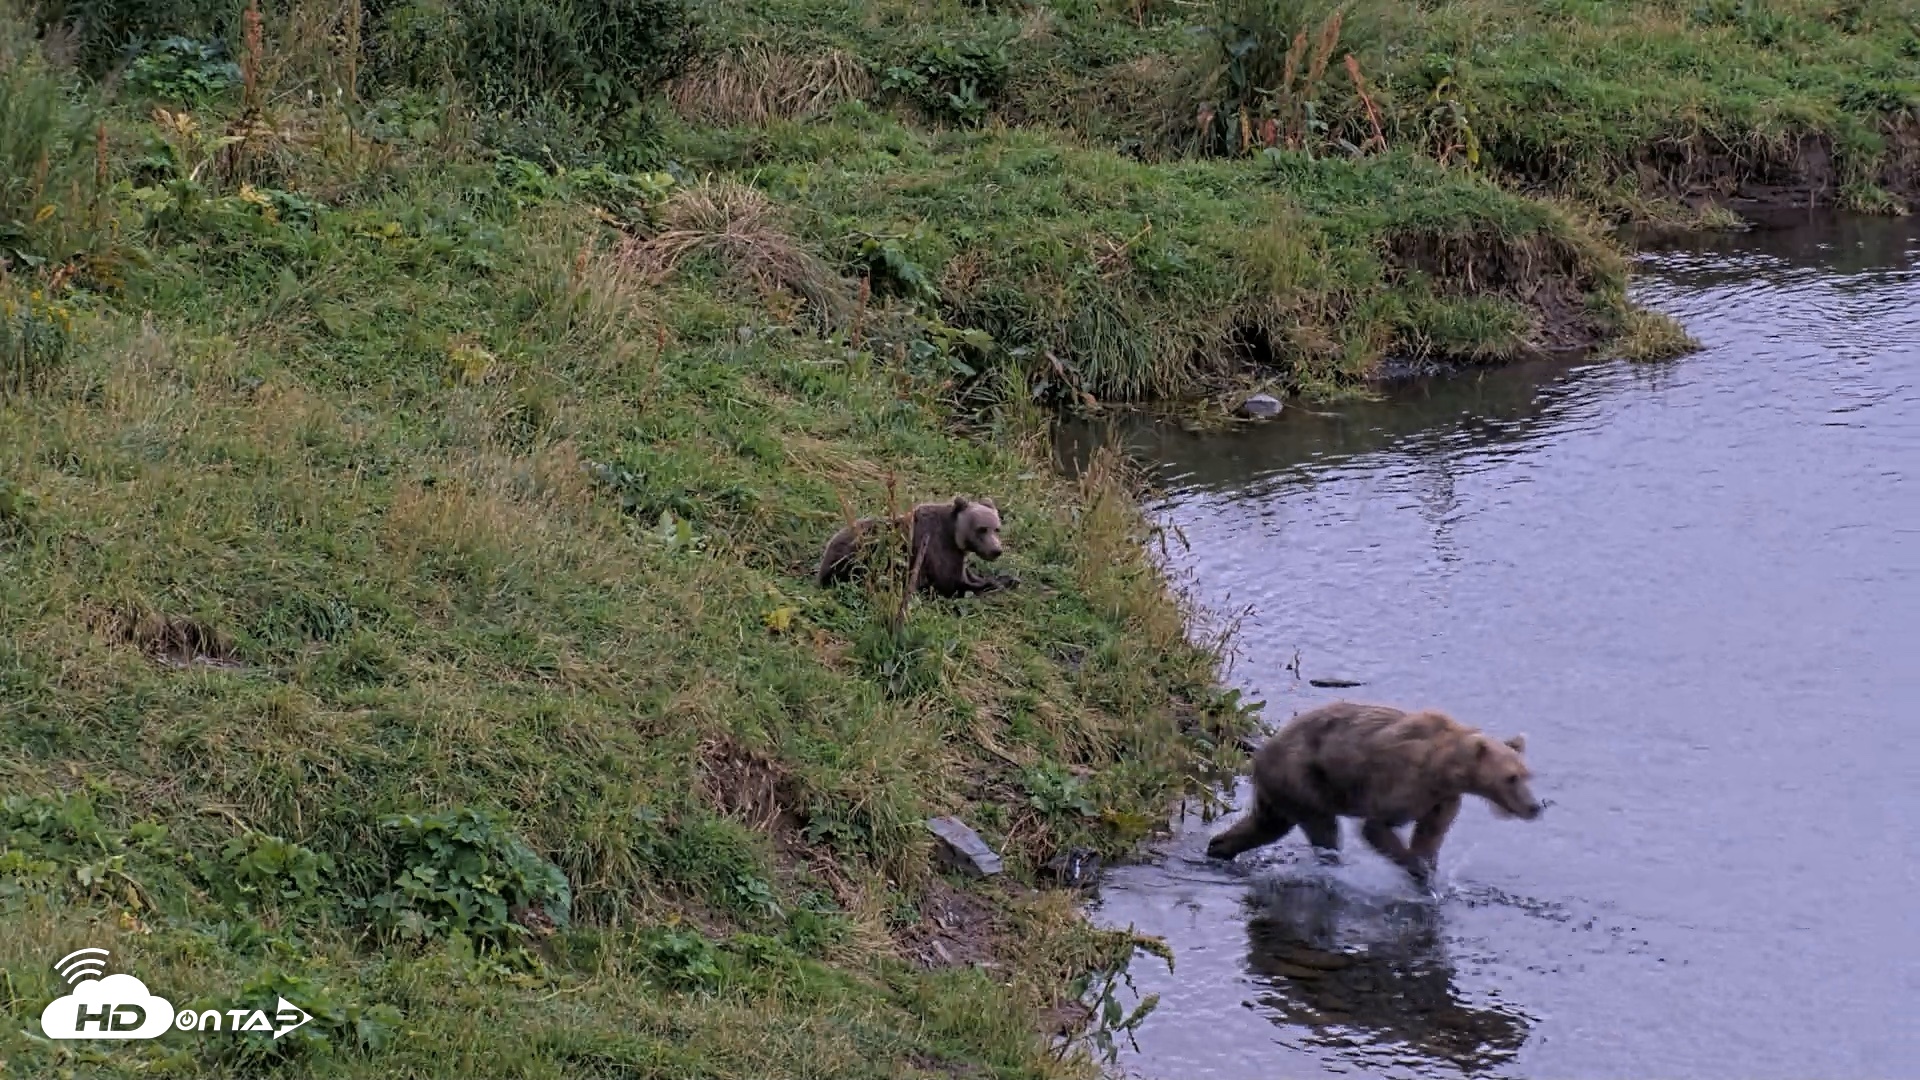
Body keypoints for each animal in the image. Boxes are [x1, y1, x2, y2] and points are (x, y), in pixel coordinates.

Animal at [816, 495, 1015, 598]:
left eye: (997, 528)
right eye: (982, 529)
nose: (996, 550)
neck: (953, 534)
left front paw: (1008, 578)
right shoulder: (936, 548)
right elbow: (950, 583)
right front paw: (994, 583)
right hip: (862, 556)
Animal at [1205, 701, 1542, 887]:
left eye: (1528, 775)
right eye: (1511, 777)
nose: (1535, 806)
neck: (1445, 769)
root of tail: (1259, 754)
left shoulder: (1442, 799)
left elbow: (1430, 835)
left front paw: (1428, 869)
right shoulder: (1404, 781)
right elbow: (1376, 827)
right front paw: (1416, 868)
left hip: (1281, 791)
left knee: (1266, 824)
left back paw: (1218, 848)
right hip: (1304, 779)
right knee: (1323, 828)